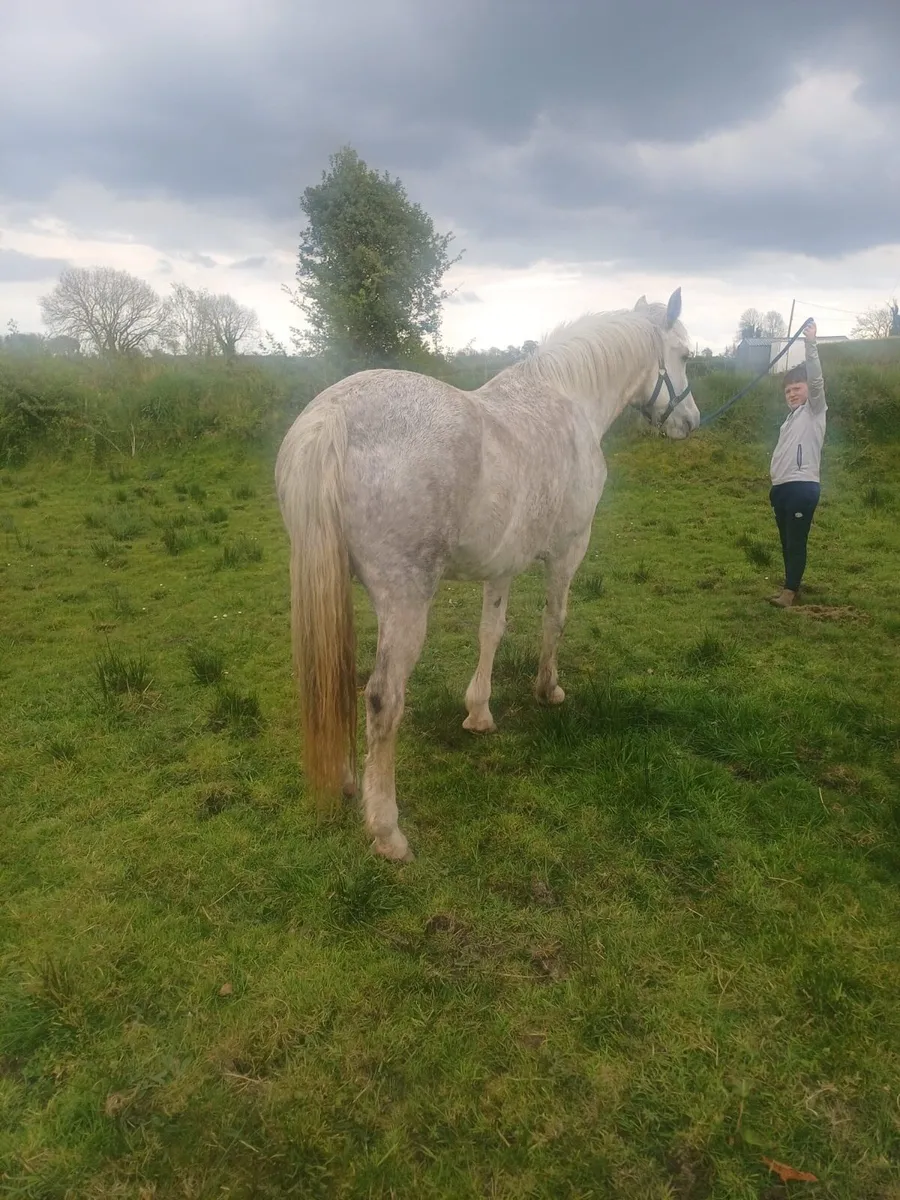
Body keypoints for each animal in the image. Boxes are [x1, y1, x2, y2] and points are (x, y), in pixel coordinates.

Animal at [275, 288, 700, 862]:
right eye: (684, 355)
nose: (691, 421)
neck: (569, 399)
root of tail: (332, 418)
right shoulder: (569, 550)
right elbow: (554, 621)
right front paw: (548, 690)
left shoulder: (502, 563)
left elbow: (490, 632)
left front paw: (479, 712)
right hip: (406, 601)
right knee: (382, 698)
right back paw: (387, 831)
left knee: (332, 681)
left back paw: (347, 785)